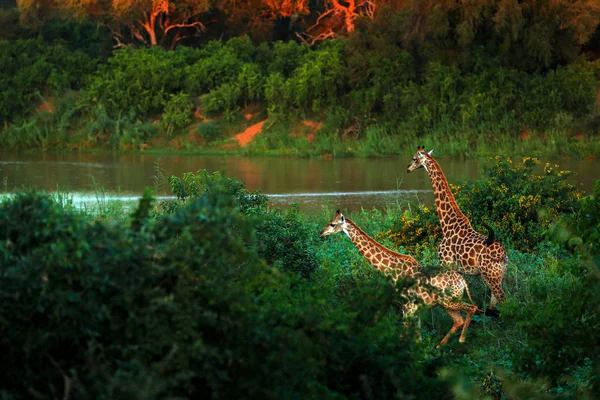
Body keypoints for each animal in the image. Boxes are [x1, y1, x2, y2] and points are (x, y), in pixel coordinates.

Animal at [318, 211, 478, 346]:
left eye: (332, 224)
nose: (320, 233)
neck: (391, 271)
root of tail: (462, 281)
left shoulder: (407, 307)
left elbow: (405, 335)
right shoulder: (411, 308)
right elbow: (416, 337)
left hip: (449, 301)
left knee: (472, 308)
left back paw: (461, 340)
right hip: (445, 303)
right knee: (458, 320)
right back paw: (439, 347)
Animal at [406, 147, 508, 316]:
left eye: (414, 158)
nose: (408, 168)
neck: (447, 224)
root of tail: (504, 256)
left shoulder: (445, 263)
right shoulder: (457, 271)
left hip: (490, 276)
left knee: (505, 301)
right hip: (499, 275)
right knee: (495, 305)